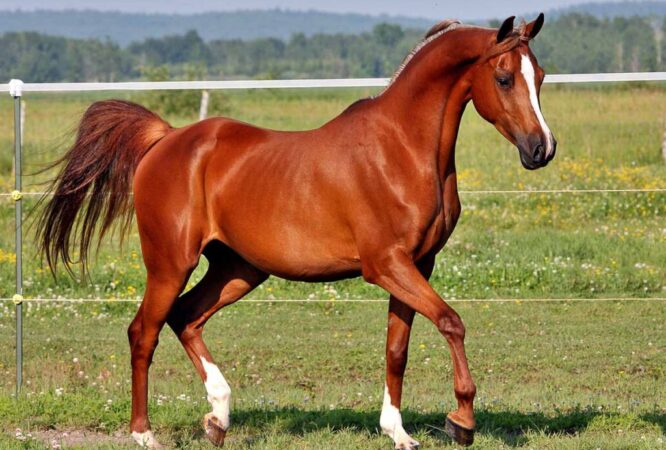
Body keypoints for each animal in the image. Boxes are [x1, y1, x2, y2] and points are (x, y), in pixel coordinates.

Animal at [37, 14, 556, 449]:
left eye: (541, 77)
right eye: (504, 78)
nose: (542, 149)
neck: (402, 149)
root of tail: (165, 139)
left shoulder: (416, 265)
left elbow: (397, 350)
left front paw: (399, 433)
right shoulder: (386, 264)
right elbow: (451, 321)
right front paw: (461, 420)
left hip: (238, 269)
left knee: (186, 317)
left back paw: (218, 418)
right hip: (170, 263)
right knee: (144, 331)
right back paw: (144, 434)